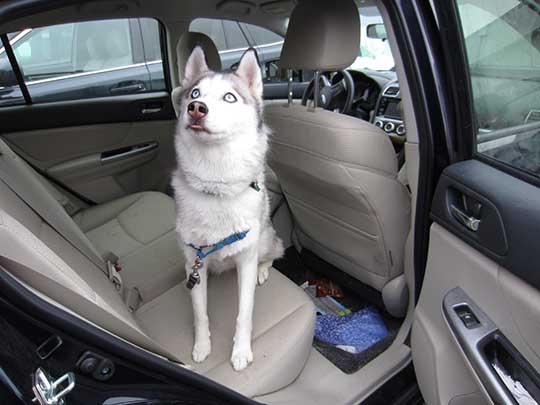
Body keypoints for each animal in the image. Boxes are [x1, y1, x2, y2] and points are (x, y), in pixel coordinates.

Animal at [173, 46, 284, 370]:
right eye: (195, 92)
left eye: (230, 97)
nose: (196, 108)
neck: (216, 187)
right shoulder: (194, 261)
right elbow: (200, 313)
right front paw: (202, 346)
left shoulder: (245, 258)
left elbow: (244, 313)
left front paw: (241, 351)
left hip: (264, 239)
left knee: (274, 253)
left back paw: (264, 270)